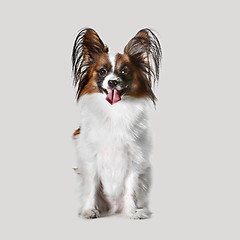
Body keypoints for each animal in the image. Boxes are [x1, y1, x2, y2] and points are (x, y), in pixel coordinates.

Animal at [71, 28, 161, 219]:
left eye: (125, 71)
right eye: (102, 71)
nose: (112, 81)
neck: (114, 111)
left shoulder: (134, 159)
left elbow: (131, 190)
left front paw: (132, 212)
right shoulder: (91, 160)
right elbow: (91, 188)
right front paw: (89, 210)